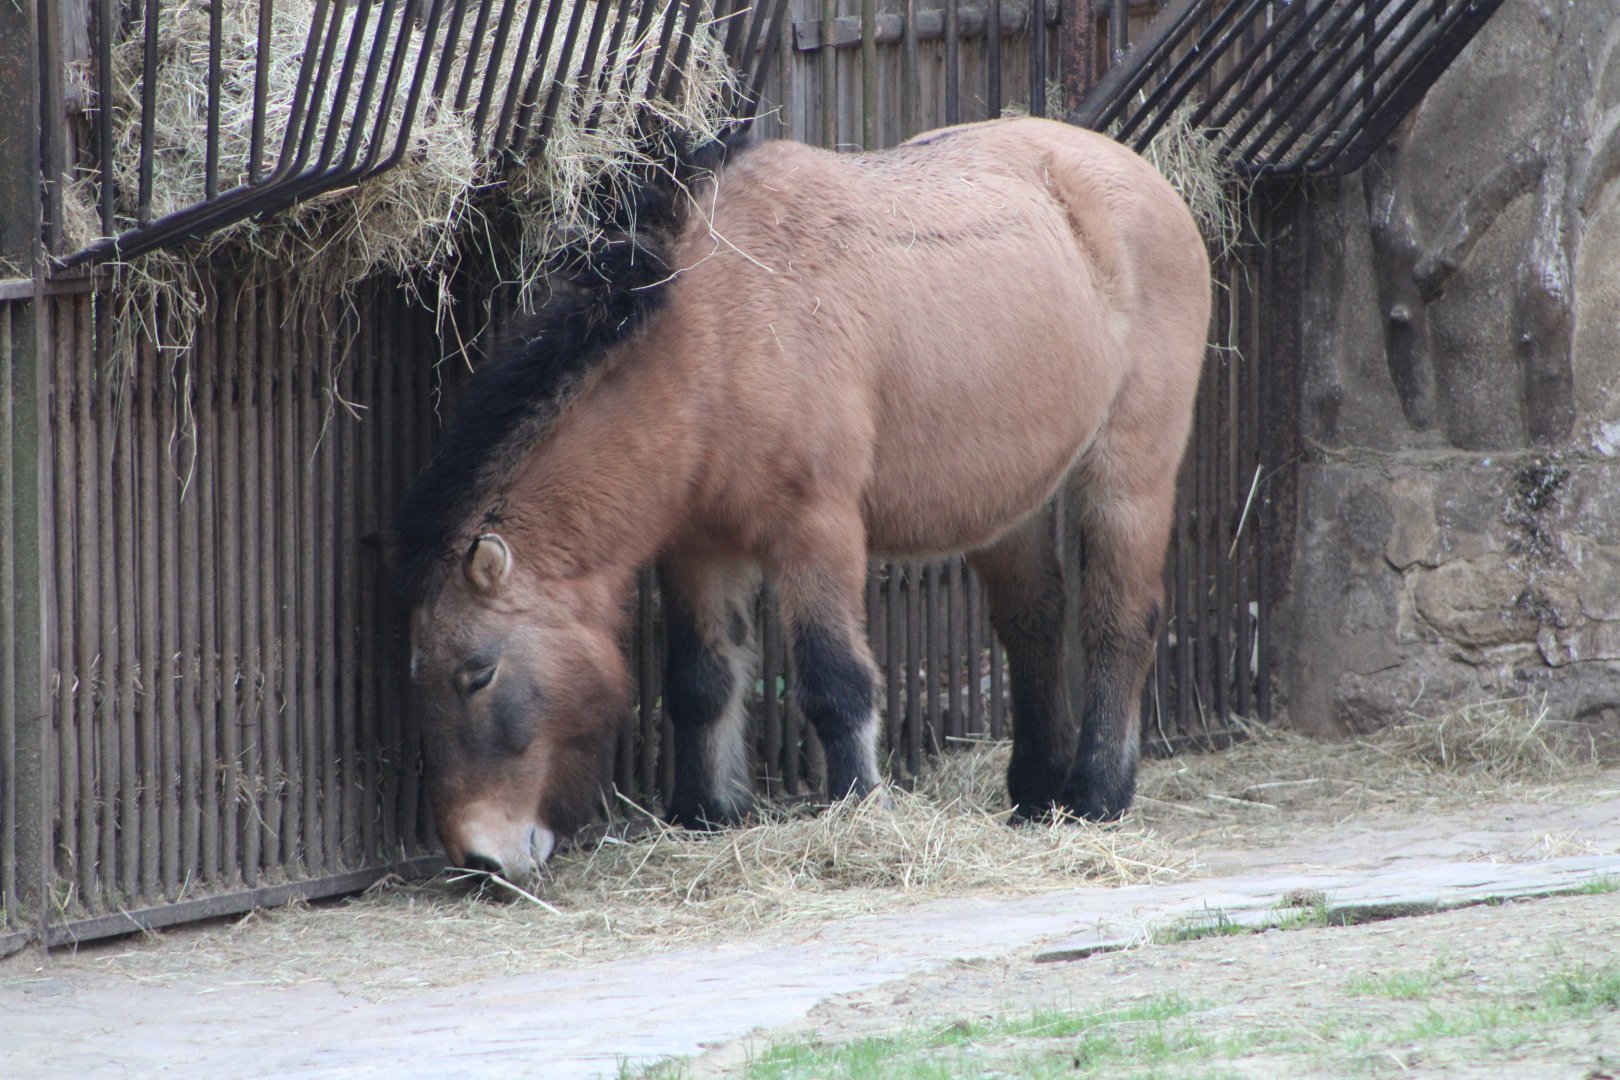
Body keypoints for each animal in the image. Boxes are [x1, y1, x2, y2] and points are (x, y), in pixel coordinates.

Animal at [392, 116, 1212, 878]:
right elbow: (701, 682)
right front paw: (704, 813)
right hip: (1009, 500)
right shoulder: (700, 550)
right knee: (1034, 620)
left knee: (1120, 620)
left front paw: (859, 812)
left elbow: (833, 680)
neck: (716, 337)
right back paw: (1037, 794)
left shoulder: (815, 532)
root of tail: (1146, 180)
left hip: (1129, 471)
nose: (478, 857)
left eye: (477, 674)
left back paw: (1097, 794)